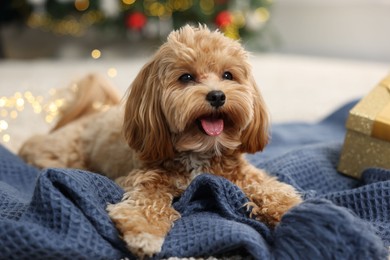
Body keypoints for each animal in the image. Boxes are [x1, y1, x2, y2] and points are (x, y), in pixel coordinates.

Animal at [18, 25, 302, 256]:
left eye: (228, 75)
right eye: (186, 77)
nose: (217, 96)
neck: (199, 152)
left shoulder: (242, 174)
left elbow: (272, 189)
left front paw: (292, 209)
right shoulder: (145, 179)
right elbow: (146, 205)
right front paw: (144, 235)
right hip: (63, 153)